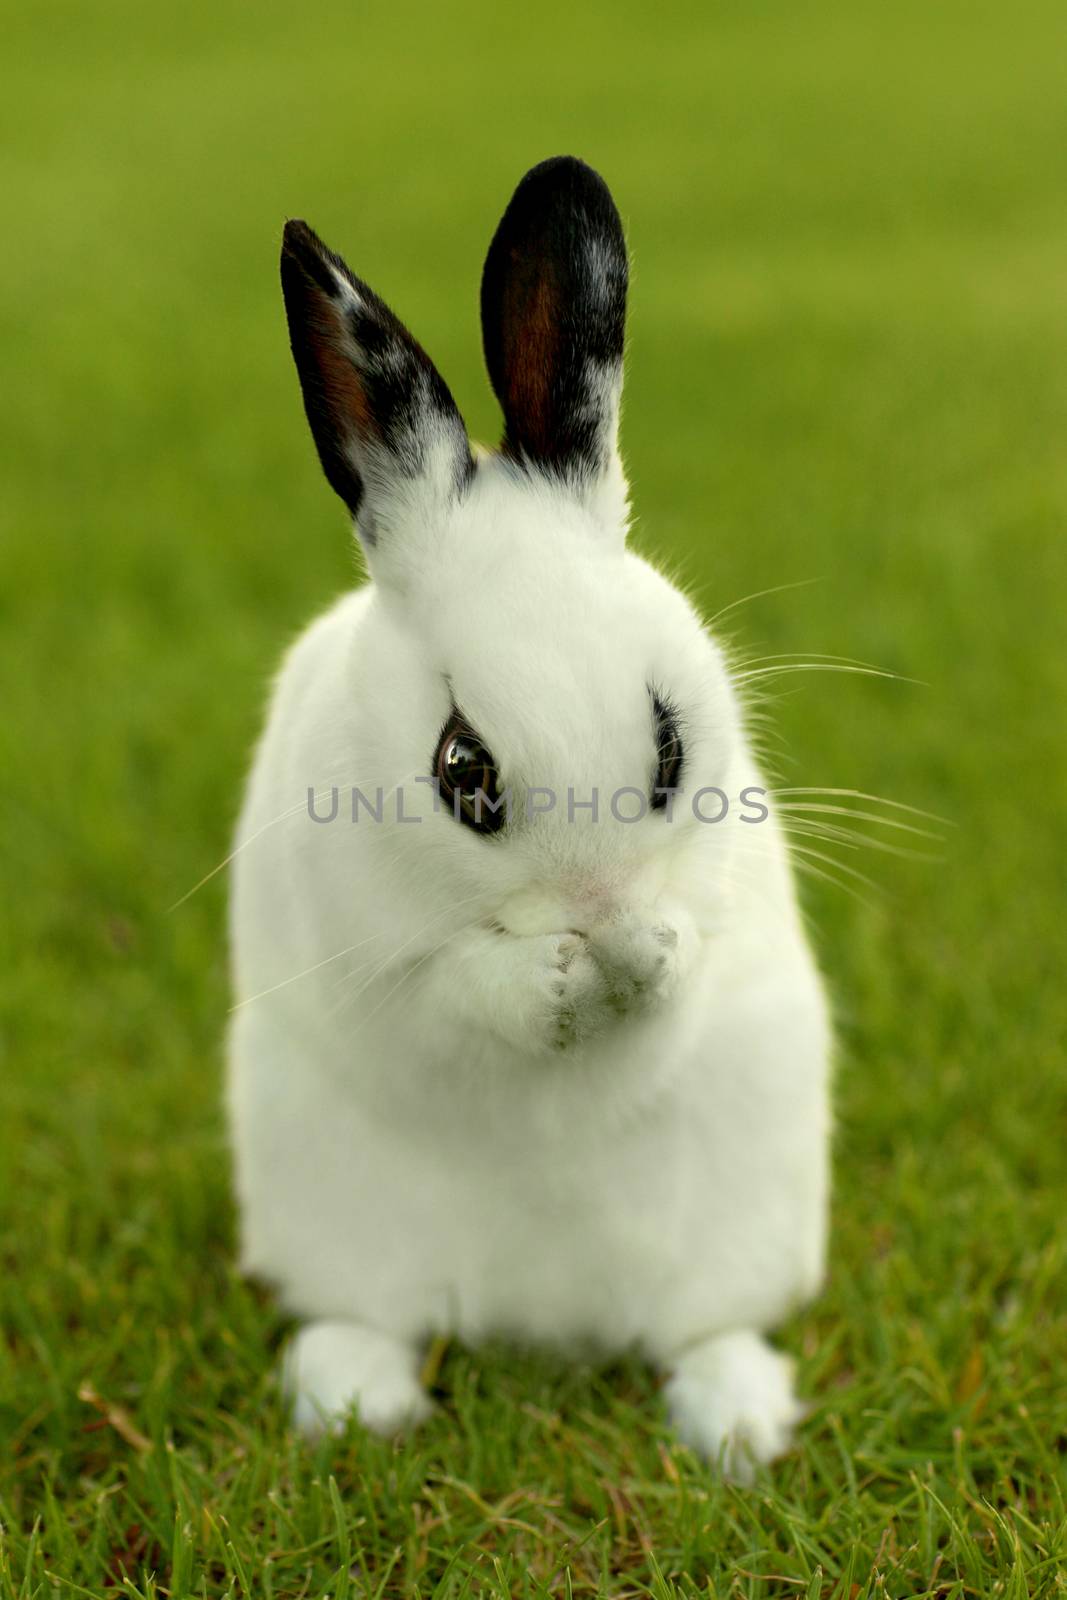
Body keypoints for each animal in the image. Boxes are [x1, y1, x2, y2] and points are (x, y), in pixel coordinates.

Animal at [230, 156, 831, 1478]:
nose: (595, 913)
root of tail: (546, 1322)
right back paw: (356, 1400)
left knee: (699, 1329)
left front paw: (640, 954)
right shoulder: (386, 972)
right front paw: (557, 976)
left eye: (668, 744)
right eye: (462, 771)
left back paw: (738, 1424)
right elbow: (463, 999)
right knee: (367, 1317)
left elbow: (676, 977)